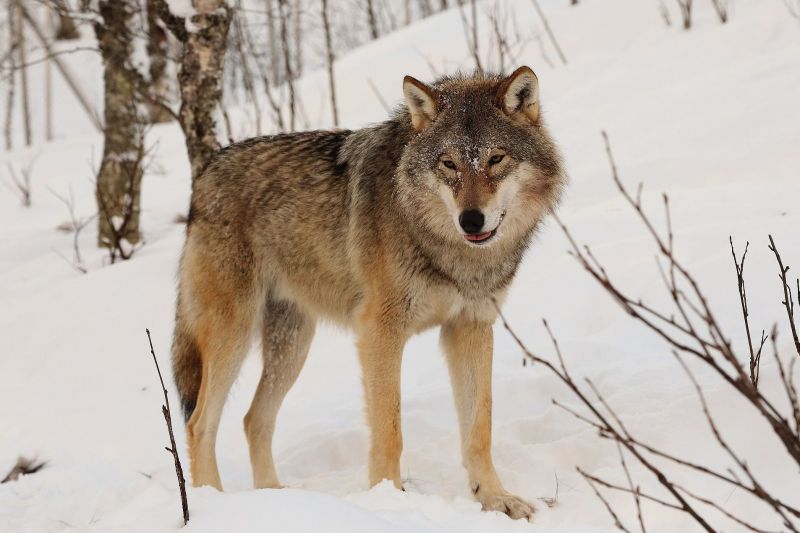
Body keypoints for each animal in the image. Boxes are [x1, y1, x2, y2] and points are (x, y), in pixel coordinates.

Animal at [172, 66, 564, 520]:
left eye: (495, 159)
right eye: (448, 164)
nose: (471, 220)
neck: (448, 250)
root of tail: (204, 173)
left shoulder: (470, 328)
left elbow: (479, 428)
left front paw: (495, 499)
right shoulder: (380, 331)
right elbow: (390, 428)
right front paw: (389, 499)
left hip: (292, 346)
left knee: (254, 420)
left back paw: (277, 499)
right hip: (233, 336)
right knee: (200, 423)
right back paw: (212, 504)